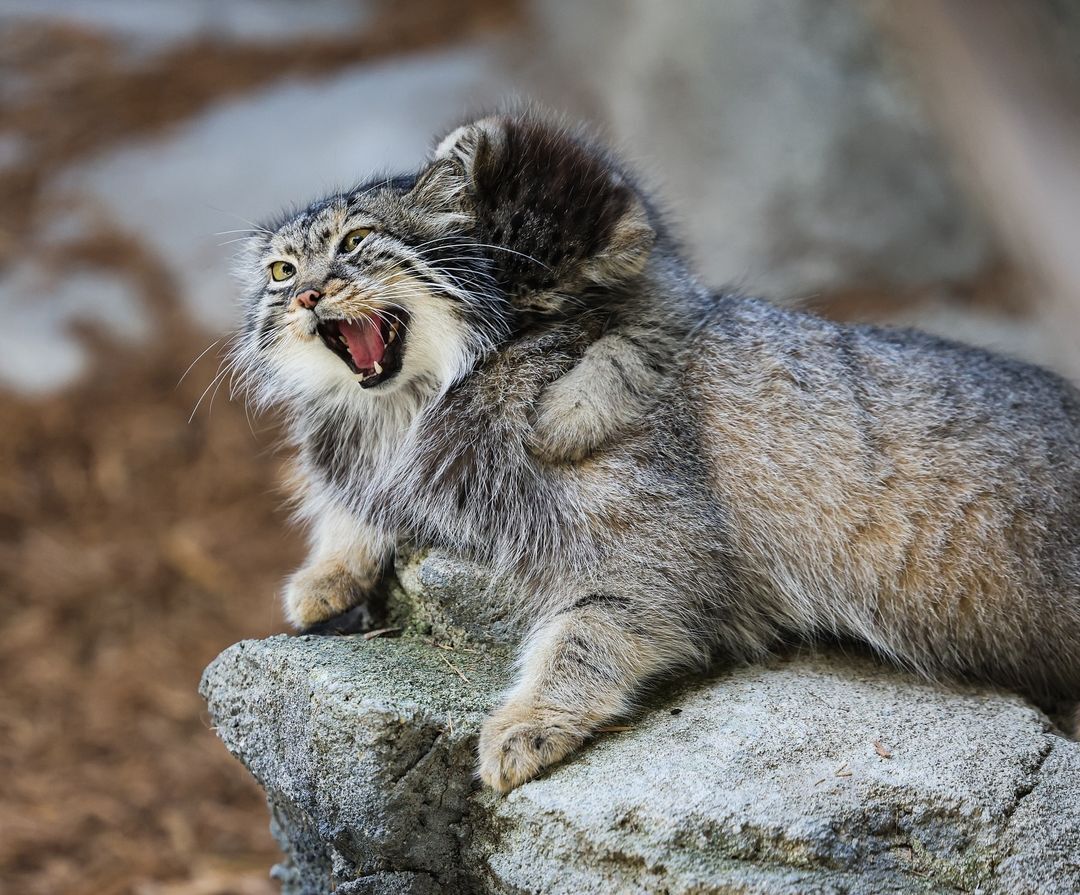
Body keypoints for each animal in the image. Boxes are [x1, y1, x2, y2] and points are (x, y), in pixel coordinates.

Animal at [238, 111, 1080, 790]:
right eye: (282, 270)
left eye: (356, 242)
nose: (307, 294)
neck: (413, 405)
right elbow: (357, 503)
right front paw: (330, 567)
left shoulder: (658, 553)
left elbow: (589, 630)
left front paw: (531, 719)